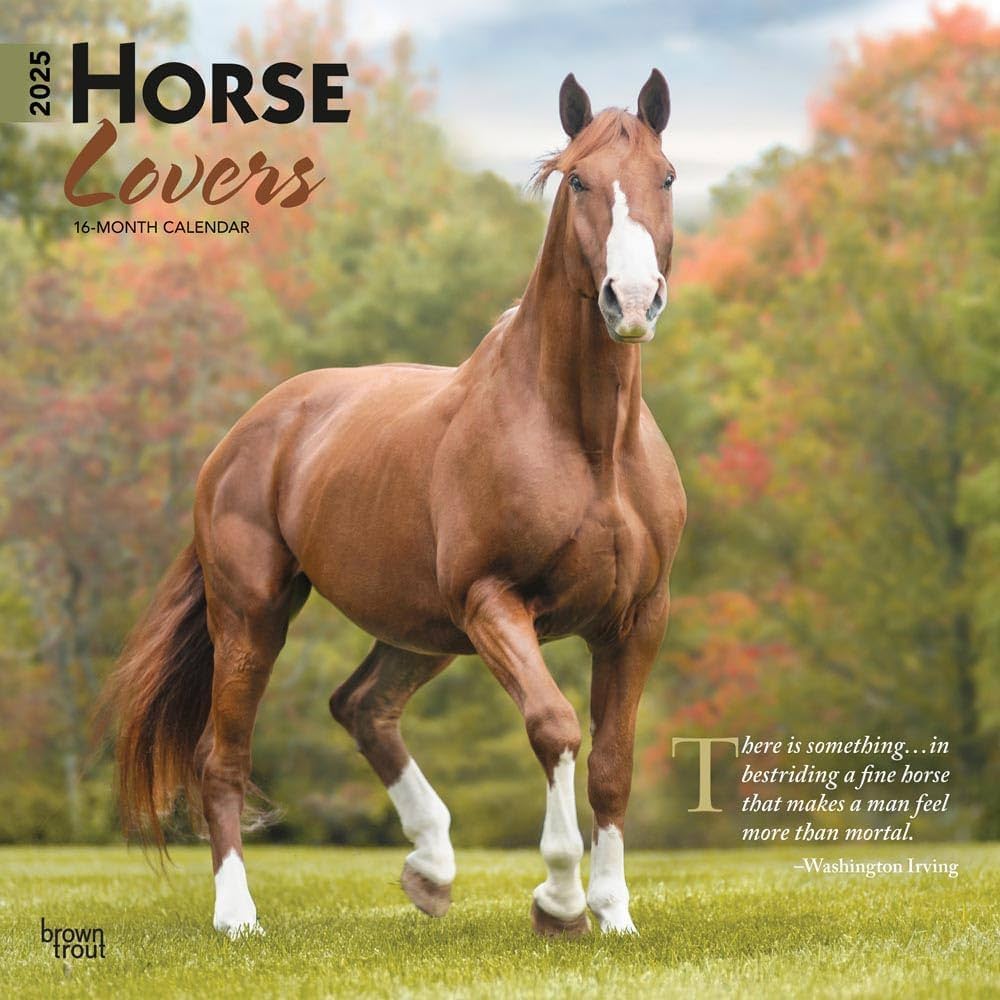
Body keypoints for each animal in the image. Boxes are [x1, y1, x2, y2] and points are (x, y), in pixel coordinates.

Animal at [103, 69, 685, 939]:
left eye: (667, 178)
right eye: (579, 180)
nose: (634, 300)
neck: (588, 444)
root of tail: (244, 435)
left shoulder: (636, 617)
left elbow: (612, 763)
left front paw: (613, 914)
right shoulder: (494, 601)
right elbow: (554, 726)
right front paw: (558, 900)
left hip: (422, 627)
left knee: (362, 706)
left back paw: (432, 868)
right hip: (256, 617)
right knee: (222, 758)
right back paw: (238, 915)